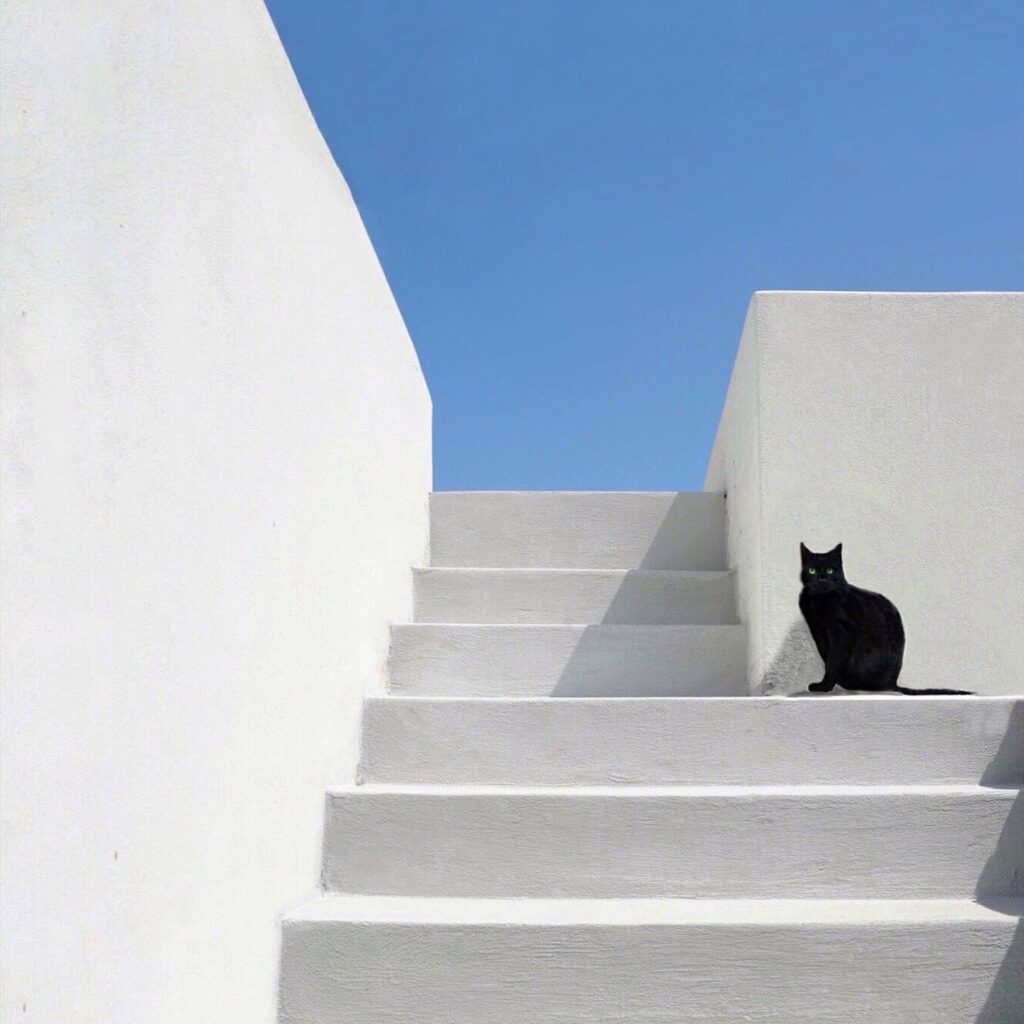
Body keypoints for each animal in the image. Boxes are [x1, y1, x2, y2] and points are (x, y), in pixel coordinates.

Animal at [794, 544, 970, 696]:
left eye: (830, 570)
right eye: (812, 570)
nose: (822, 579)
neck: (819, 602)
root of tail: (892, 683)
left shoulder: (840, 633)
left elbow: (833, 661)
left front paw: (824, 687)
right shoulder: (818, 632)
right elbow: (828, 658)